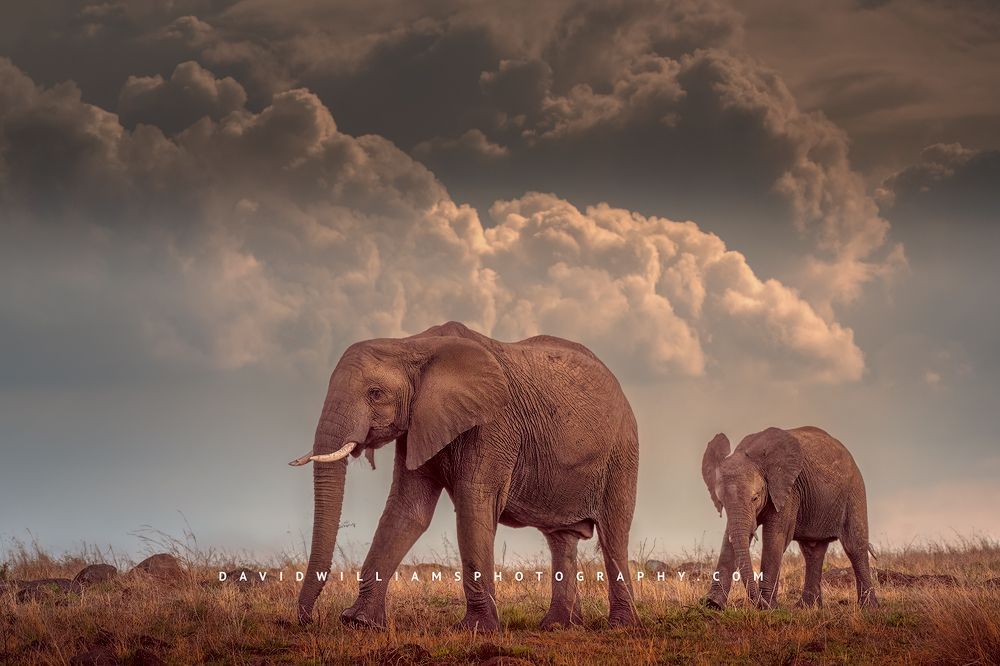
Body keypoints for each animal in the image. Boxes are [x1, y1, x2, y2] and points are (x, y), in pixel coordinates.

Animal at [289, 321, 640, 630]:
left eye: (375, 393)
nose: (308, 620)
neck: (411, 345)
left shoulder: (494, 424)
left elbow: (475, 505)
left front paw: (478, 630)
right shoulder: (418, 425)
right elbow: (407, 511)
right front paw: (359, 622)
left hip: (622, 452)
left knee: (613, 534)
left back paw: (621, 627)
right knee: (561, 539)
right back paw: (557, 627)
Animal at [700, 426, 877, 609]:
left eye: (755, 498)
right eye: (721, 502)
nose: (758, 603)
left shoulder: (789, 490)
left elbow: (775, 536)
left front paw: (767, 607)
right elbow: (729, 540)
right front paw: (712, 604)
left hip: (854, 490)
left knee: (854, 546)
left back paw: (869, 608)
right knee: (812, 550)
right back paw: (807, 607)